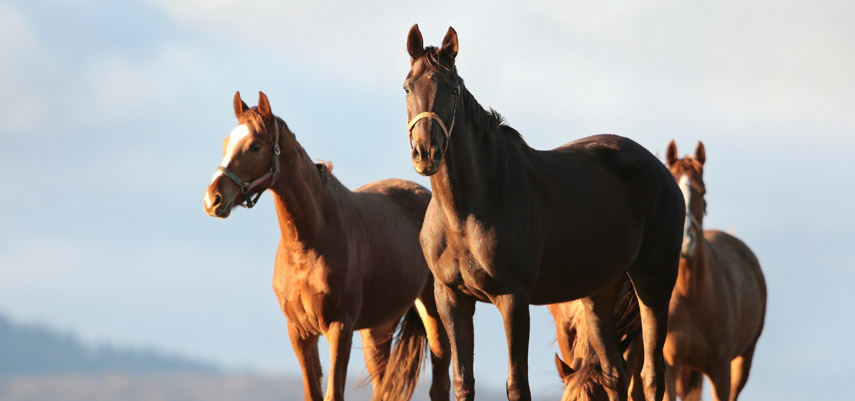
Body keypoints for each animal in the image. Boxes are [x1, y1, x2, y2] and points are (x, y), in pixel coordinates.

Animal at [203, 91, 452, 400]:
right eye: (226, 142)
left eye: (254, 146)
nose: (213, 199)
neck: (311, 241)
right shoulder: (300, 332)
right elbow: (313, 392)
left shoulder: (339, 328)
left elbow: (334, 392)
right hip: (378, 330)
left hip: (433, 315)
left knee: (441, 384)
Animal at [402, 25, 688, 400]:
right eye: (408, 86)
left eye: (452, 90)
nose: (426, 153)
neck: (465, 212)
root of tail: (664, 173)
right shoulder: (451, 298)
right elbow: (463, 382)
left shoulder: (513, 298)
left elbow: (517, 384)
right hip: (599, 293)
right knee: (614, 373)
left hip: (653, 285)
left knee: (653, 376)